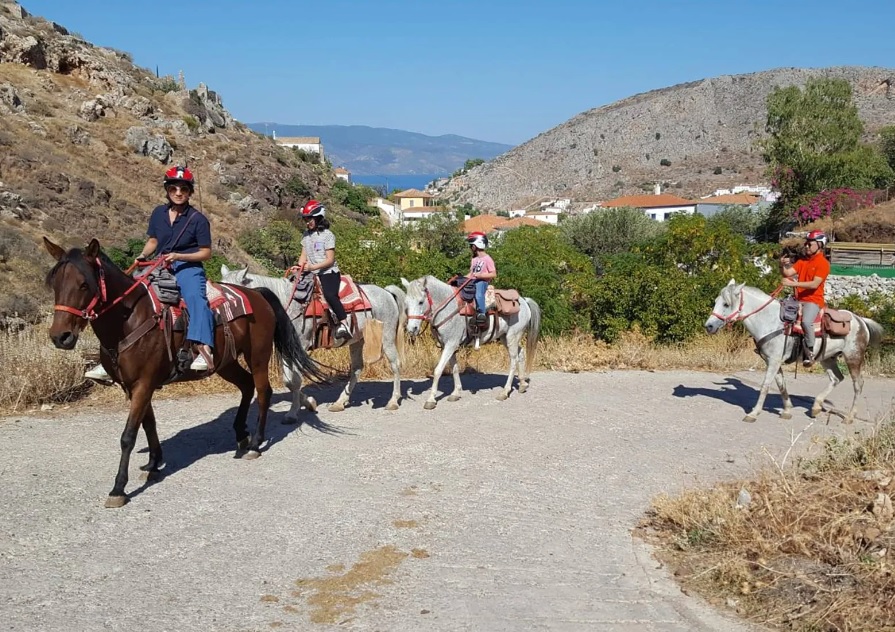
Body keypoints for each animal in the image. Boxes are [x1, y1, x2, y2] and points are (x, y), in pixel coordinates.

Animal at [43, 237, 328, 508]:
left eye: (84, 284)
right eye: (54, 283)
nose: (61, 337)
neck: (130, 319)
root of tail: (257, 294)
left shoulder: (143, 383)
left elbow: (128, 435)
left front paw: (118, 488)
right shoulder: (135, 385)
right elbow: (148, 424)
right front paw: (153, 464)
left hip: (257, 356)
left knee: (263, 391)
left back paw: (256, 443)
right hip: (226, 363)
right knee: (247, 386)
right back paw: (241, 435)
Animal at [222, 266, 408, 420]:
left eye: (233, 298)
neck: (287, 305)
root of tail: (387, 292)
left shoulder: (301, 348)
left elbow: (296, 380)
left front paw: (292, 413)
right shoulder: (287, 350)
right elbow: (288, 381)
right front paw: (309, 402)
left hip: (387, 338)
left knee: (395, 364)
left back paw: (393, 401)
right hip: (357, 340)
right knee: (356, 368)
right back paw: (339, 403)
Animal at [402, 276, 544, 410]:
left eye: (421, 302)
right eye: (406, 303)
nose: (412, 329)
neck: (449, 308)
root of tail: (524, 300)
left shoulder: (450, 344)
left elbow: (438, 370)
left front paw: (431, 400)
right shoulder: (447, 346)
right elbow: (454, 368)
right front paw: (456, 393)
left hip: (512, 337)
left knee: (513, 360)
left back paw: (505, 392)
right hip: (506, 338)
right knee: (521, 353)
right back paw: (522, 384)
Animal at [708, 280, 888, 424]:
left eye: (726, 304)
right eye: (716, 301)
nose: (709, 326)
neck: (770, 322)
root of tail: (860, 320)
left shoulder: (773, 361)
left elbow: (765, 385)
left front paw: (753, 413)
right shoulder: (772, 361)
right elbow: (781, 385)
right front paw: (787, 411)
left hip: (853, 357)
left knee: (858, 384)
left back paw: (849, 417)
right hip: (827, 358)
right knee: (836, 378)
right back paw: (816, 407)